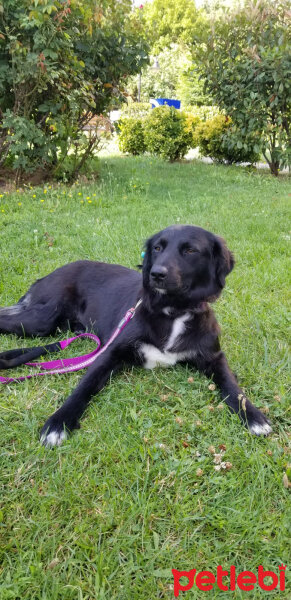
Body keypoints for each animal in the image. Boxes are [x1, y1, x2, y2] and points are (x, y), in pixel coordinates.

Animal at [0, 225, 272, 446]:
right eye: (158, 248)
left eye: (190, 250)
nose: (157, 274)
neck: (174, 311)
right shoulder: (110, 353)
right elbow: (84, 386)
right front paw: (59, 421)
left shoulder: (214, 356)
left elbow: (232, 386)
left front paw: (253, 416)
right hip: (42, 320)